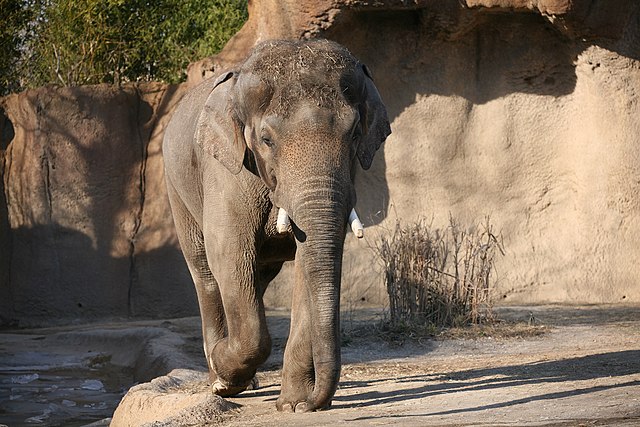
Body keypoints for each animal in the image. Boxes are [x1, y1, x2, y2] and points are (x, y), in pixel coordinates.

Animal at [161, 38, 390, 412]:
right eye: (266, 140)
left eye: (355, 134)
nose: (315, 404)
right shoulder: (226, 170)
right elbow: (231, 253)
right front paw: (226, 375)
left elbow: (307, 266)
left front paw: (294, 405)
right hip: (175, 187)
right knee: (206, 273)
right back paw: (219, 379)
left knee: (259, 276)